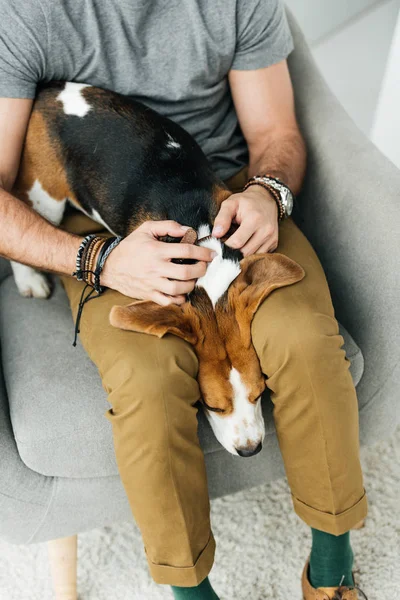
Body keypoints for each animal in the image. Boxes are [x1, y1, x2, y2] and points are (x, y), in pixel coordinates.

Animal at [14, 79, 304, 454]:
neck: (202, 238)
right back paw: (29, 280)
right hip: (44, 195)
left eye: (260, 392)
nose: (250, 449)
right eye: (211, 405)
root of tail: (50, 91)